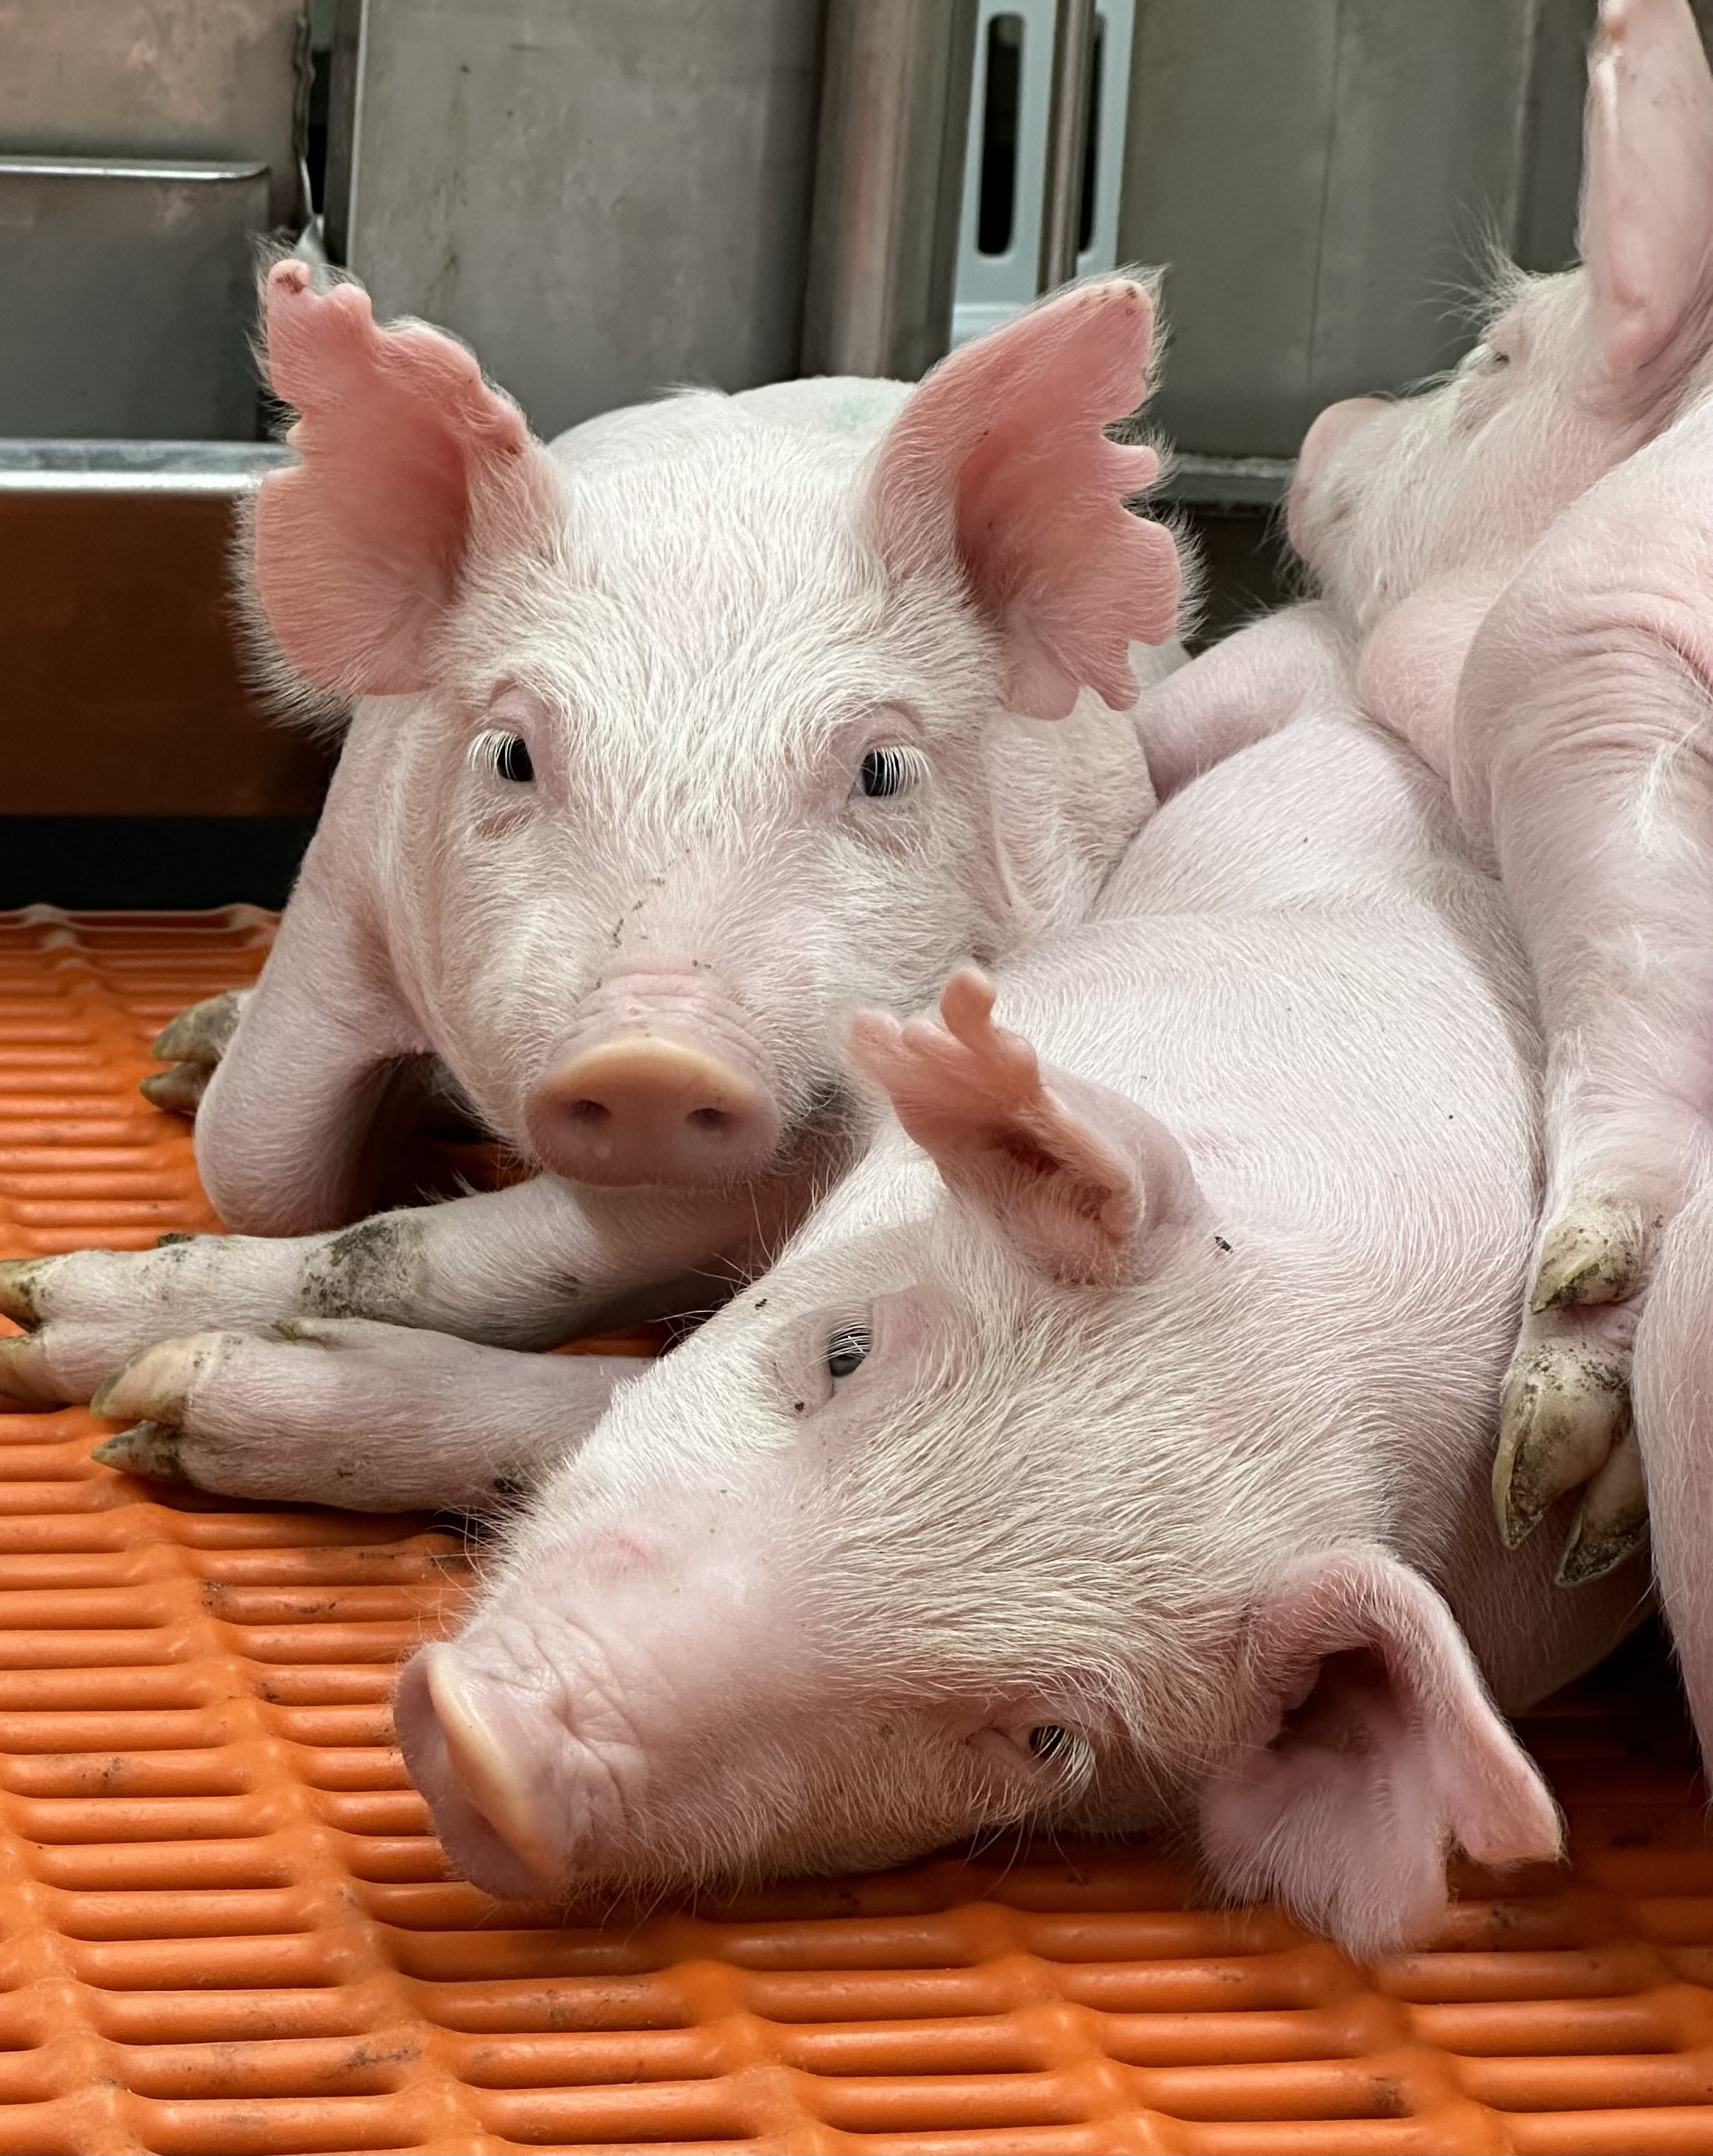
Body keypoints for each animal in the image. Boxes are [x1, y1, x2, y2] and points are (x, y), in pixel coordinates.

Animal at [0, 265, 1182, 1500]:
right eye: (511, 753)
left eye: (883, 769)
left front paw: (74, 1347)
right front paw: (52, 1293)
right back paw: (188, 1057)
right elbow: (257, 1158)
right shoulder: (345, 878)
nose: (649, 1057)